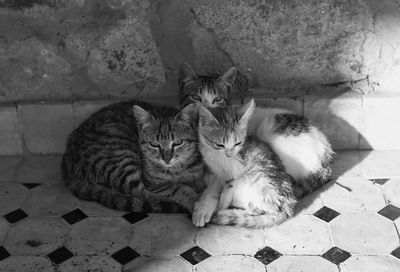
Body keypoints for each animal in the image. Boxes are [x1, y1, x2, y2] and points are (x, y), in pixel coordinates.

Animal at [61, 101, 205, 214]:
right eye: (154, 144)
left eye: (178, 143)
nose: (167, 159)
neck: (178, 169)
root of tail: (67, 173)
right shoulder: (153, 183)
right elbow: (178, 188)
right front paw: (195, 201)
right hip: (122, 160)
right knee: (143, 194)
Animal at [180, 62, 336, 226]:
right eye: (195, 97)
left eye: (218, 99)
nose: (206, 108)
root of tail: (327, 155)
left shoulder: (226, 170)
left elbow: (214, 187)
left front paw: (203, 208)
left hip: (267, 131)